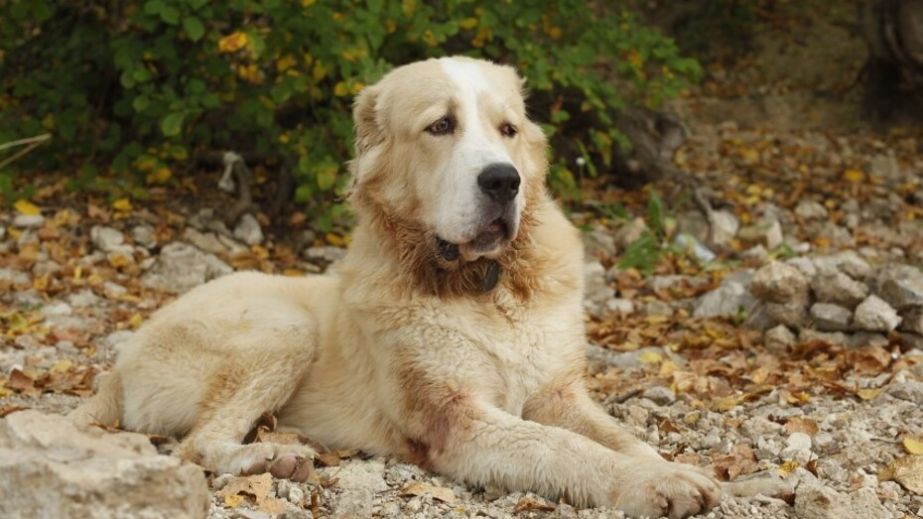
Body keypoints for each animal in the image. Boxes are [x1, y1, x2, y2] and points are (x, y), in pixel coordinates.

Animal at [72, 57, 720, 519]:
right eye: (441, 126)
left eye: (508, 130)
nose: (503, 181)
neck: (483, 286)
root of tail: (118, 367)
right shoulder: (457, 419)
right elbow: (565, 448)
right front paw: (654, 484)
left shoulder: (559, 396)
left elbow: (619, 437)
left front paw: (672, 469)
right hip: (283, 329)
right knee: (195, 446)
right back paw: (270, 457)